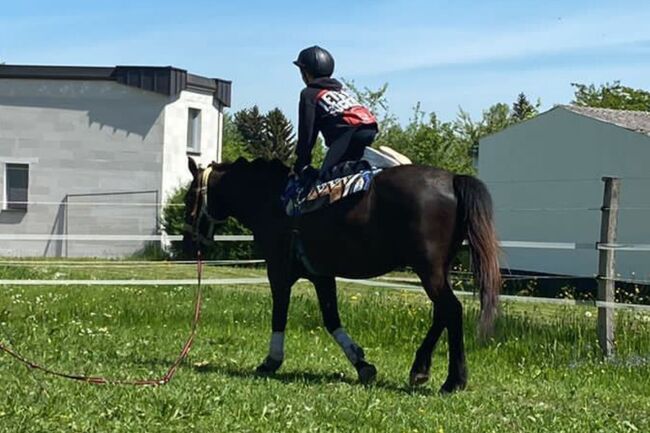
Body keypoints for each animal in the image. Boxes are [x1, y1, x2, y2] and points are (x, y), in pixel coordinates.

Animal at [184, 157, 502, 394]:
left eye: (188, 197)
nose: (187, 243)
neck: (272, 200)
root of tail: (452, 178)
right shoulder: (322, 275)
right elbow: (331, 319)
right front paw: (362, 364)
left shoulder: (279, 271)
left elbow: (280, 315)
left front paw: (271, 361)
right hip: (436, 271)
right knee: (442, 313)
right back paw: (420, 370)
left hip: (428, 269)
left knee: (452, 310)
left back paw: (453, 380)